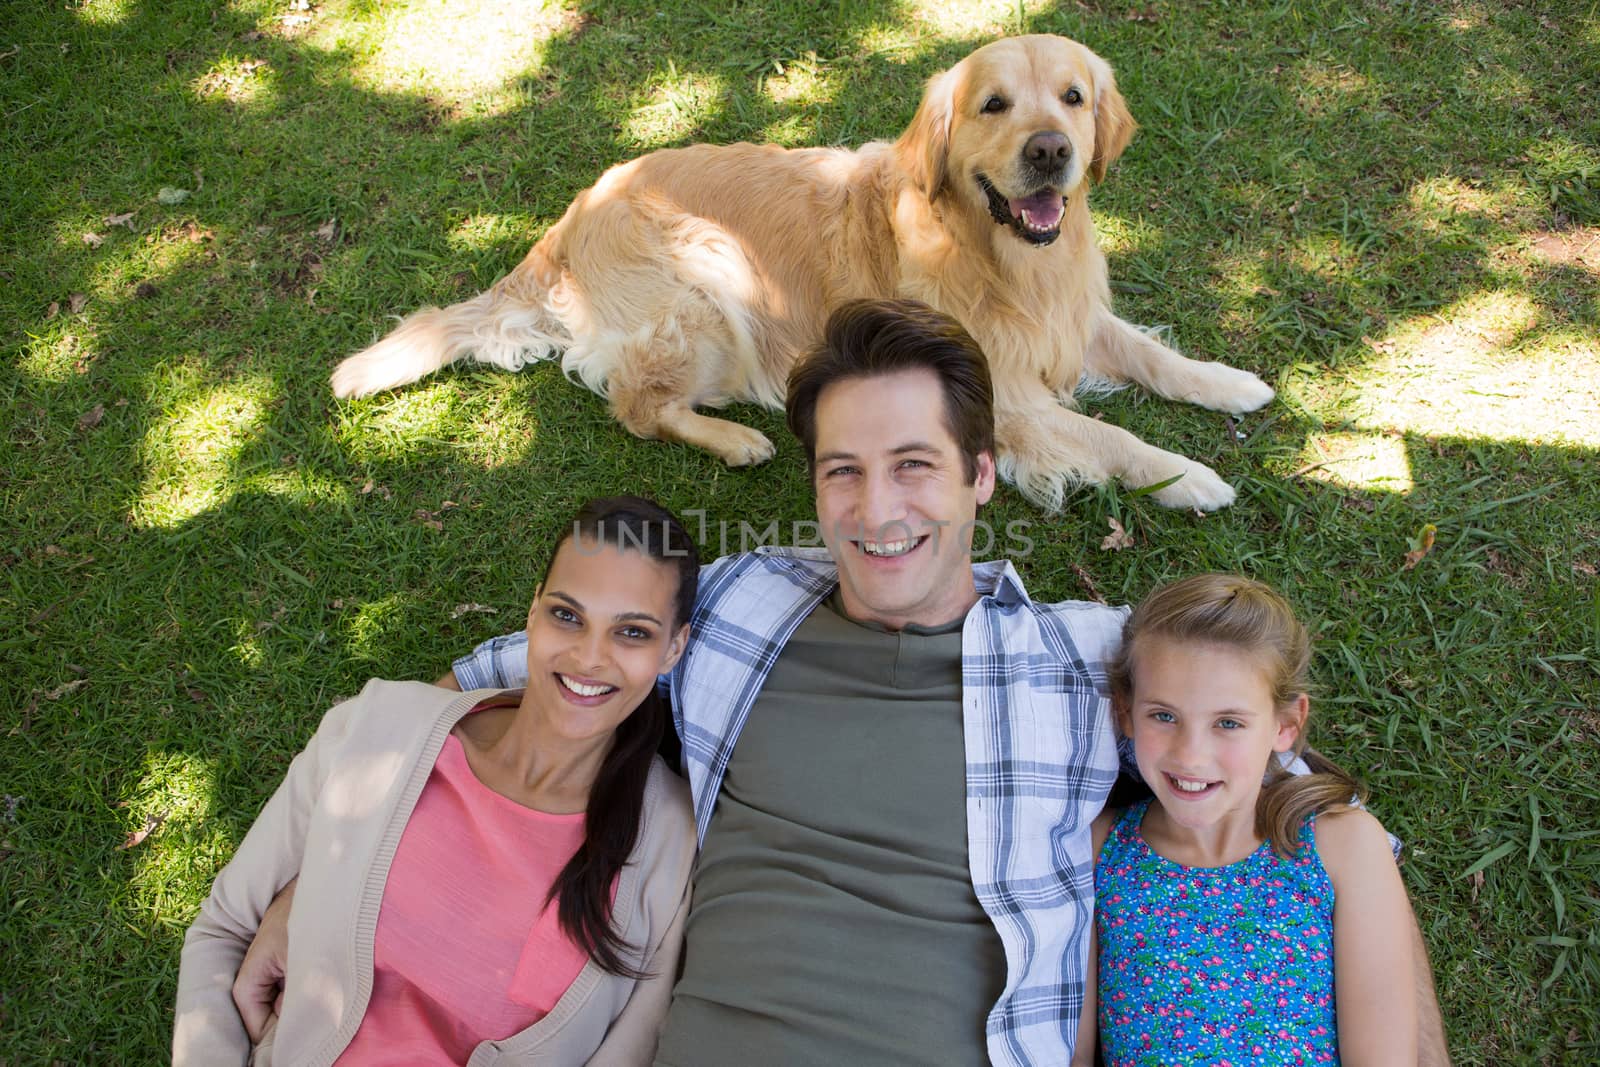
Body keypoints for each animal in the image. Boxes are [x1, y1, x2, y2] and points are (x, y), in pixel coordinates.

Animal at [328, 35, 1273, 511]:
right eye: (993, 105)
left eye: (1074, 97)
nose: (1051, 152)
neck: (995, 255)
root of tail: (565, 221)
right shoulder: (1000, 394)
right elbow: (1111, 438)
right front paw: (1191, 477)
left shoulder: (1066, 318)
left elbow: (1152, 354)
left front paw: (1232, 382)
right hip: (709, 284)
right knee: (636, 405)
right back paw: (737, 438)